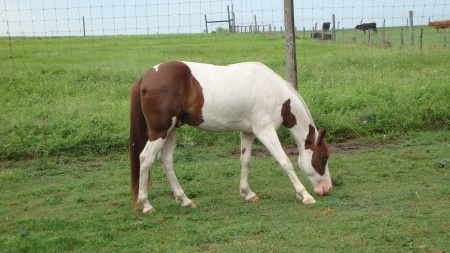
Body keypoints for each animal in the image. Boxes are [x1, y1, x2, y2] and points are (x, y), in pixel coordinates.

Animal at [128, 61, 332, 213]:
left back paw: (185, 200)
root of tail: (145, 76)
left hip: (172, 130)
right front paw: (305, 196)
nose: (327, 189)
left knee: (166, 160)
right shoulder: (265, 131)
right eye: (323, 158)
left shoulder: (248, 131)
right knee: (145, 159)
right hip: (160, 131)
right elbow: (285, 162)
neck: (276, 93)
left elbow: (245, 160)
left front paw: (248, 193)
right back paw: (146, 204)